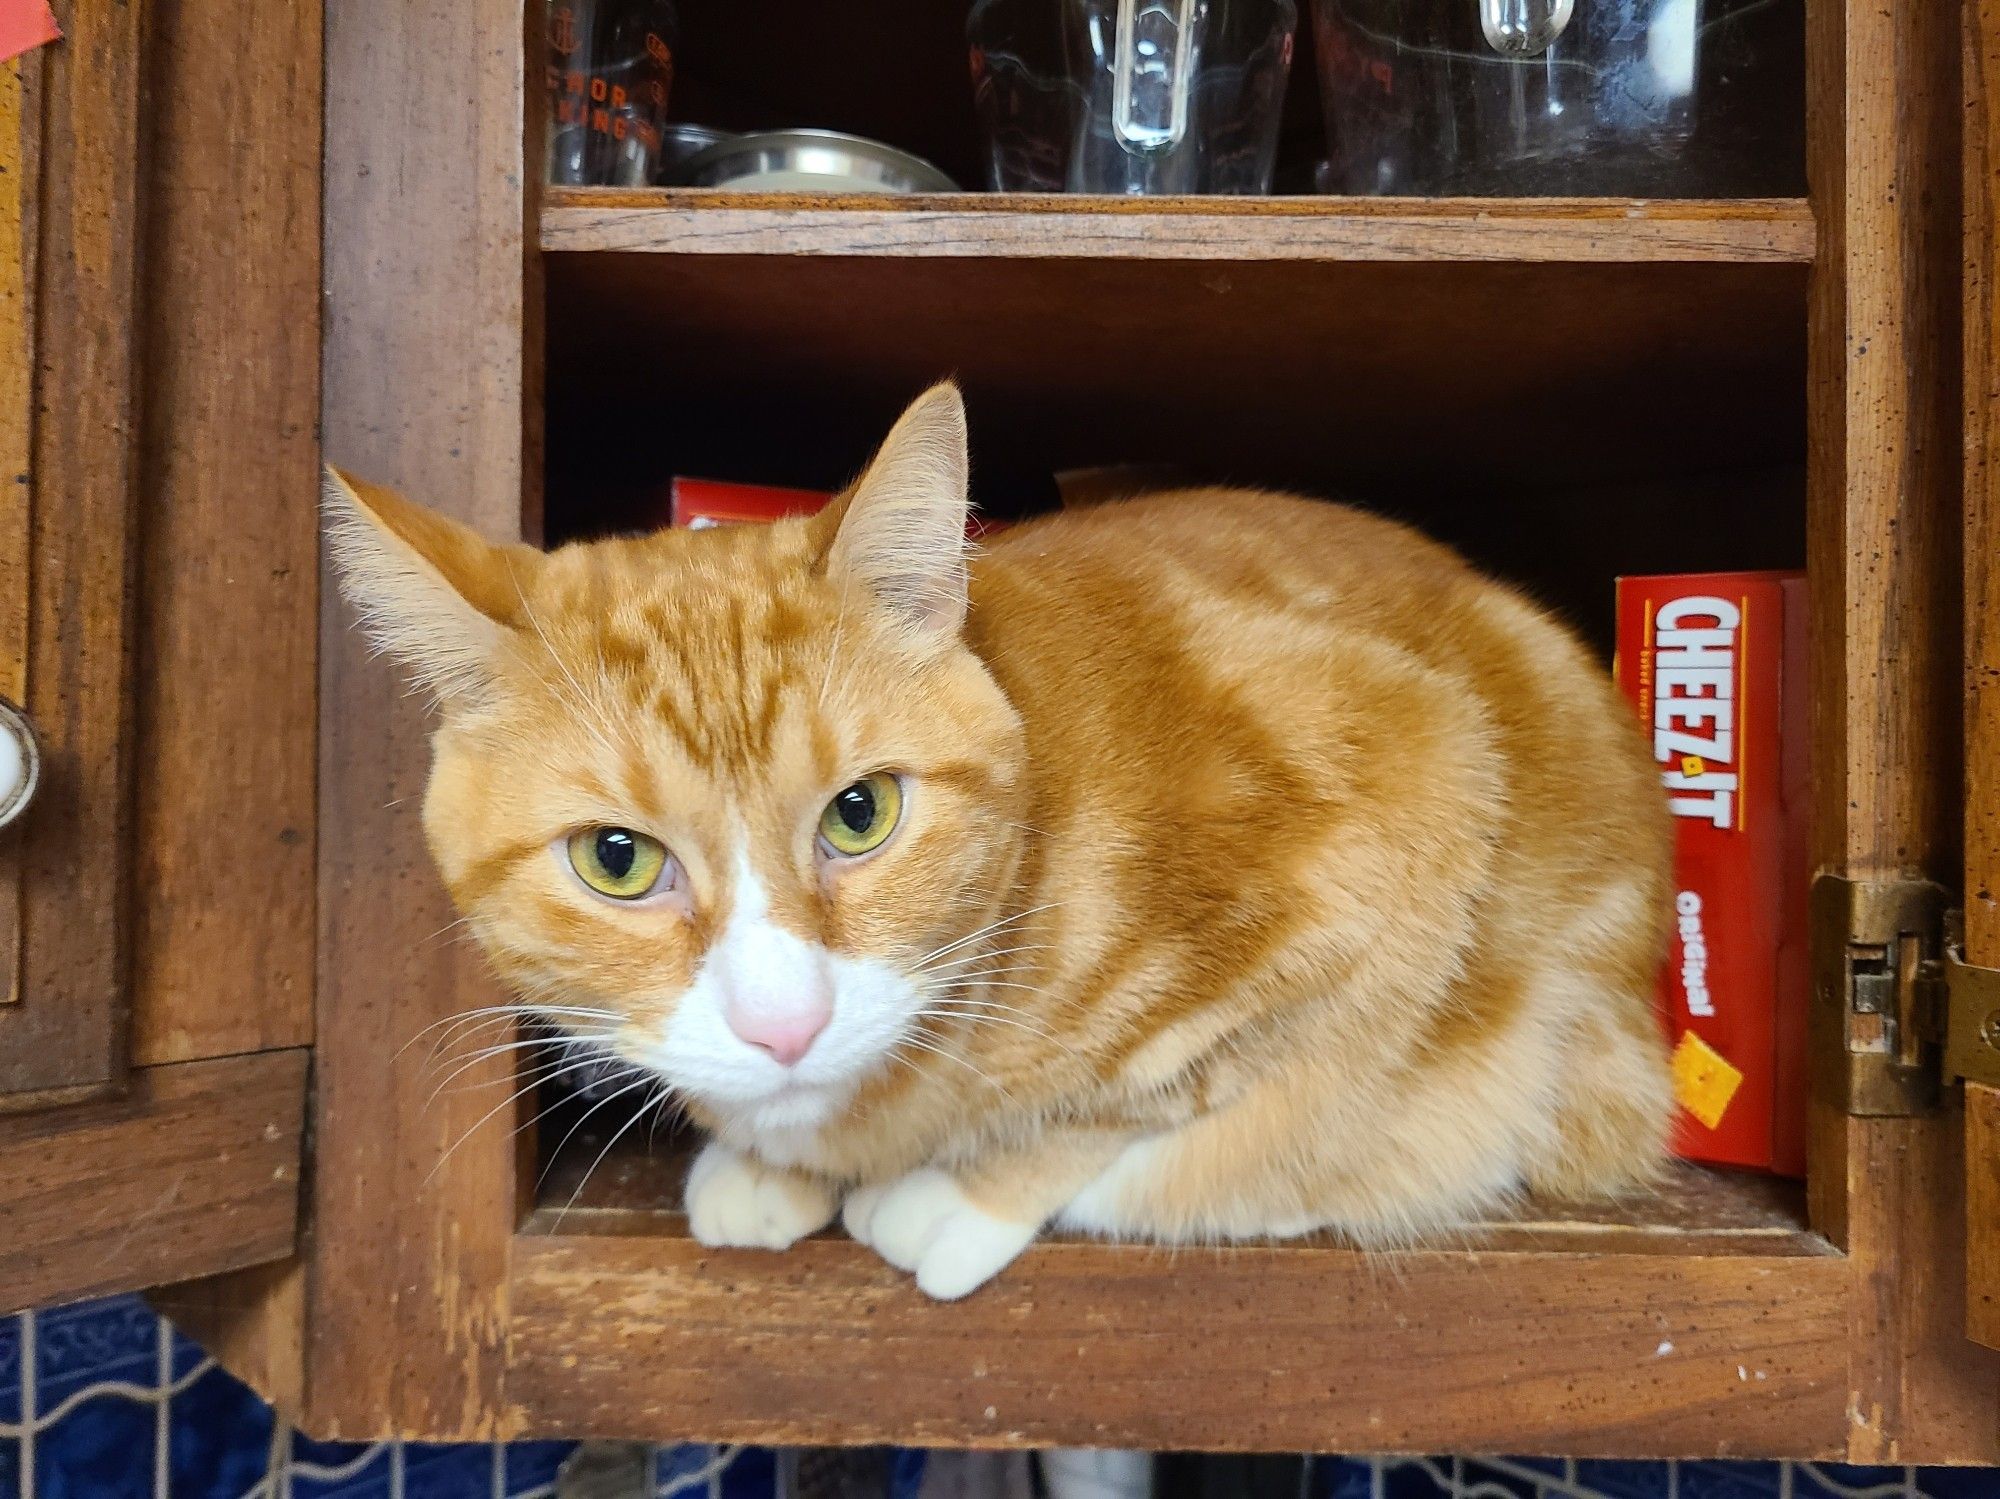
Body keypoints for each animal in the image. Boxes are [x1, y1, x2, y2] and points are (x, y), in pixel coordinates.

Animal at [328, 383, 1672, 1303]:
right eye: (615, 858)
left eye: (859, 812)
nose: (783, 1026)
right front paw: (764, 1159)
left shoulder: (1399, 801)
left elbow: (1146, 1097)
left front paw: (955, 1190)